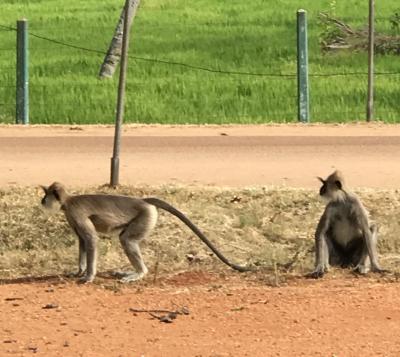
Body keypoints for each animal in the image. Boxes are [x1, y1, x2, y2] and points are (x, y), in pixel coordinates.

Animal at [39, 182, 250, 282]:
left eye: (46, 196)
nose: (42, 201)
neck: (67, 201)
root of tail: (143, 200)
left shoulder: (75, 212)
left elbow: (91, 239)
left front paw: (88, 276)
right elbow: (82, 242)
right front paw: (79, 271)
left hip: (146, 216)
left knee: (126, 240)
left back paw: (140, 273)